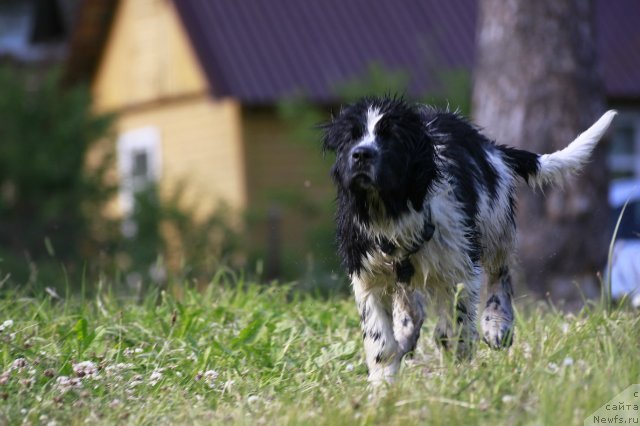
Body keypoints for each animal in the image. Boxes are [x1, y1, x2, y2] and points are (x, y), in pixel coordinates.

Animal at [322, 96, 616, 382]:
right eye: (351, 138)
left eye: (390, 137)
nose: (361, 154)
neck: (392, 211)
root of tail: (491, 147)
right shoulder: (368, 277)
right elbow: (380, 342)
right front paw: (383, 386)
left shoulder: (460, 269)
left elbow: (457, 327)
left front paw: (458, 371)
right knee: (412, 308)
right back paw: (407, 334)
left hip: (495, 223)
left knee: (499, 274)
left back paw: (496, 325)